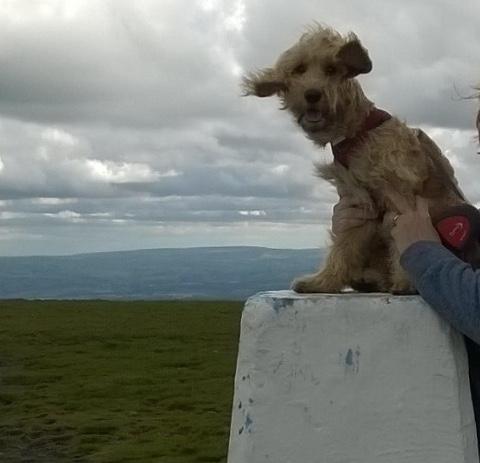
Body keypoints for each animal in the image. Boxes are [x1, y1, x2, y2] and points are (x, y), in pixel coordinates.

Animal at [244, 24, 464, 294]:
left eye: (331, 69)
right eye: (299, 69)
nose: (312, 94)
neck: (357, 133)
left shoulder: (400, 194)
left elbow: (403, 240)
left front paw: (406, 281)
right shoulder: (358, 201)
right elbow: (344, 245)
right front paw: (324, 280)